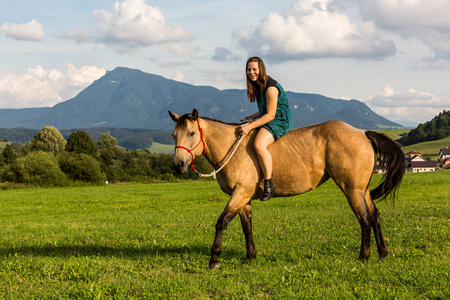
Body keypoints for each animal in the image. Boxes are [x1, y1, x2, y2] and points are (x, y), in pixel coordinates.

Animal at [168, 109, 404, 268]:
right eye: (173, 135)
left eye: (191, 133)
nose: (178, 165)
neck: (232, 149)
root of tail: (362, 132)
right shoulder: (244, 198)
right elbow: (247, 227)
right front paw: (250, 256)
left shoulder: (240, 194)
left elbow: (221, 222)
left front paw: (214, 259)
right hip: (362, 190)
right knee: (375, 216)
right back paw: (382, 252)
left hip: (352, 190)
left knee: (364, 219)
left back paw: (364, 256)